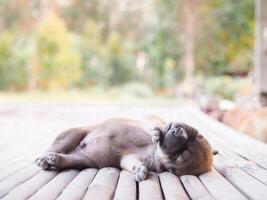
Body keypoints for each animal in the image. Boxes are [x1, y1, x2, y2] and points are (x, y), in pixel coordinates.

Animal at [35, 116, 215, 182]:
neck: (154, 151)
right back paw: (45, 156)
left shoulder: (130, 158)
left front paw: (140, 170)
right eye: (197, 135)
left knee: (68, 159)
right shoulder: (149, 118)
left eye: (180, 155)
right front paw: (156, 131)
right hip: (73, 133)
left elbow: (133, 163)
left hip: (82, 160)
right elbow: (154, 123)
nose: (179, 131)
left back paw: (56, 159)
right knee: (57, 145)